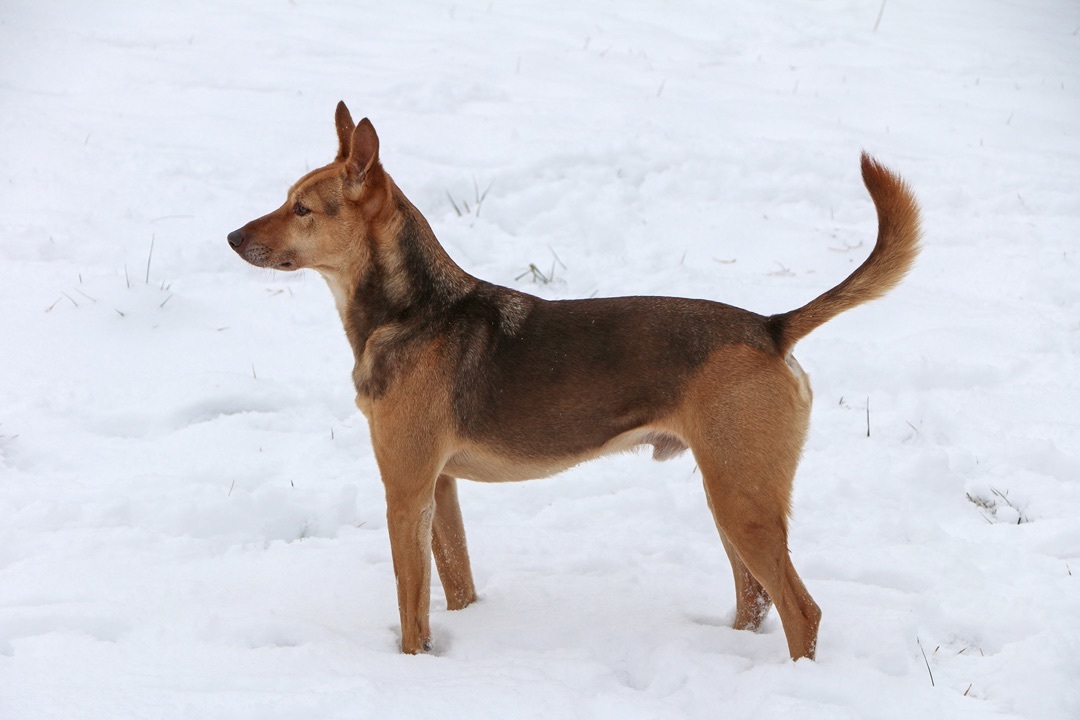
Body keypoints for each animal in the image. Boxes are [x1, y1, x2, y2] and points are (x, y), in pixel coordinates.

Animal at [227, 99, 920, 660]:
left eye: (301, 209)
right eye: (288, 198)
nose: (232, 237)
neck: (413, 310)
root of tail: (770, 328)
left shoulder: (406, 489)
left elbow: (410, 606)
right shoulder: (440, 488)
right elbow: (455, 584)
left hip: (741, 498)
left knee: (803, 610)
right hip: (730, 493)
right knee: (757, 600)